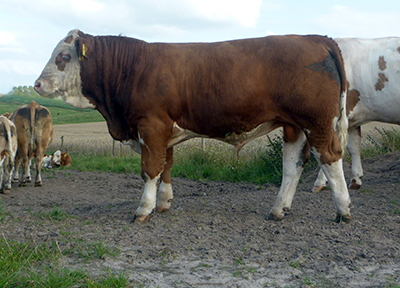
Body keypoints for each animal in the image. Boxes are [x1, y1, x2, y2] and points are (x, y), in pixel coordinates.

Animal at [34, 29, 352, 223]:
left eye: (63, 56)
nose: (37, 84)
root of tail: (315, 38)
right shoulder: (163, 130)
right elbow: (166, 166)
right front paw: (163, 202)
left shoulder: (151, 125)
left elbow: (149, 168)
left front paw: (144, 209)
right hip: (293, 125)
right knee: (293, 164)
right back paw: (278, 209)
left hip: (317, 122)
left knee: (330, 157)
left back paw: (343, 210)